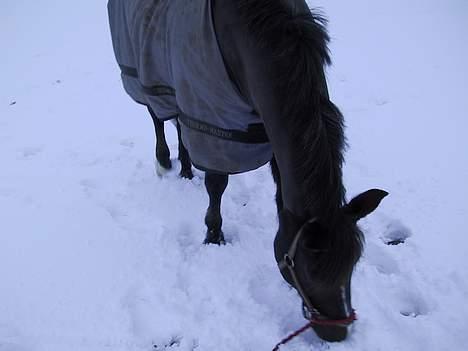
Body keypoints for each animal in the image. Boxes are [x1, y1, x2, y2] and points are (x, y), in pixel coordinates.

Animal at [107, 0, 388, 344]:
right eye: (308, 267)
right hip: (145, 74)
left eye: (353, 263)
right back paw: (164, 162)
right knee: (157, 117)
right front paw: (213, 236)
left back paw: (186, 169)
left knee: (179, 126)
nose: (338, 333)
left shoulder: (264, 132)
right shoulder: (214, 122)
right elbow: (217, 183)